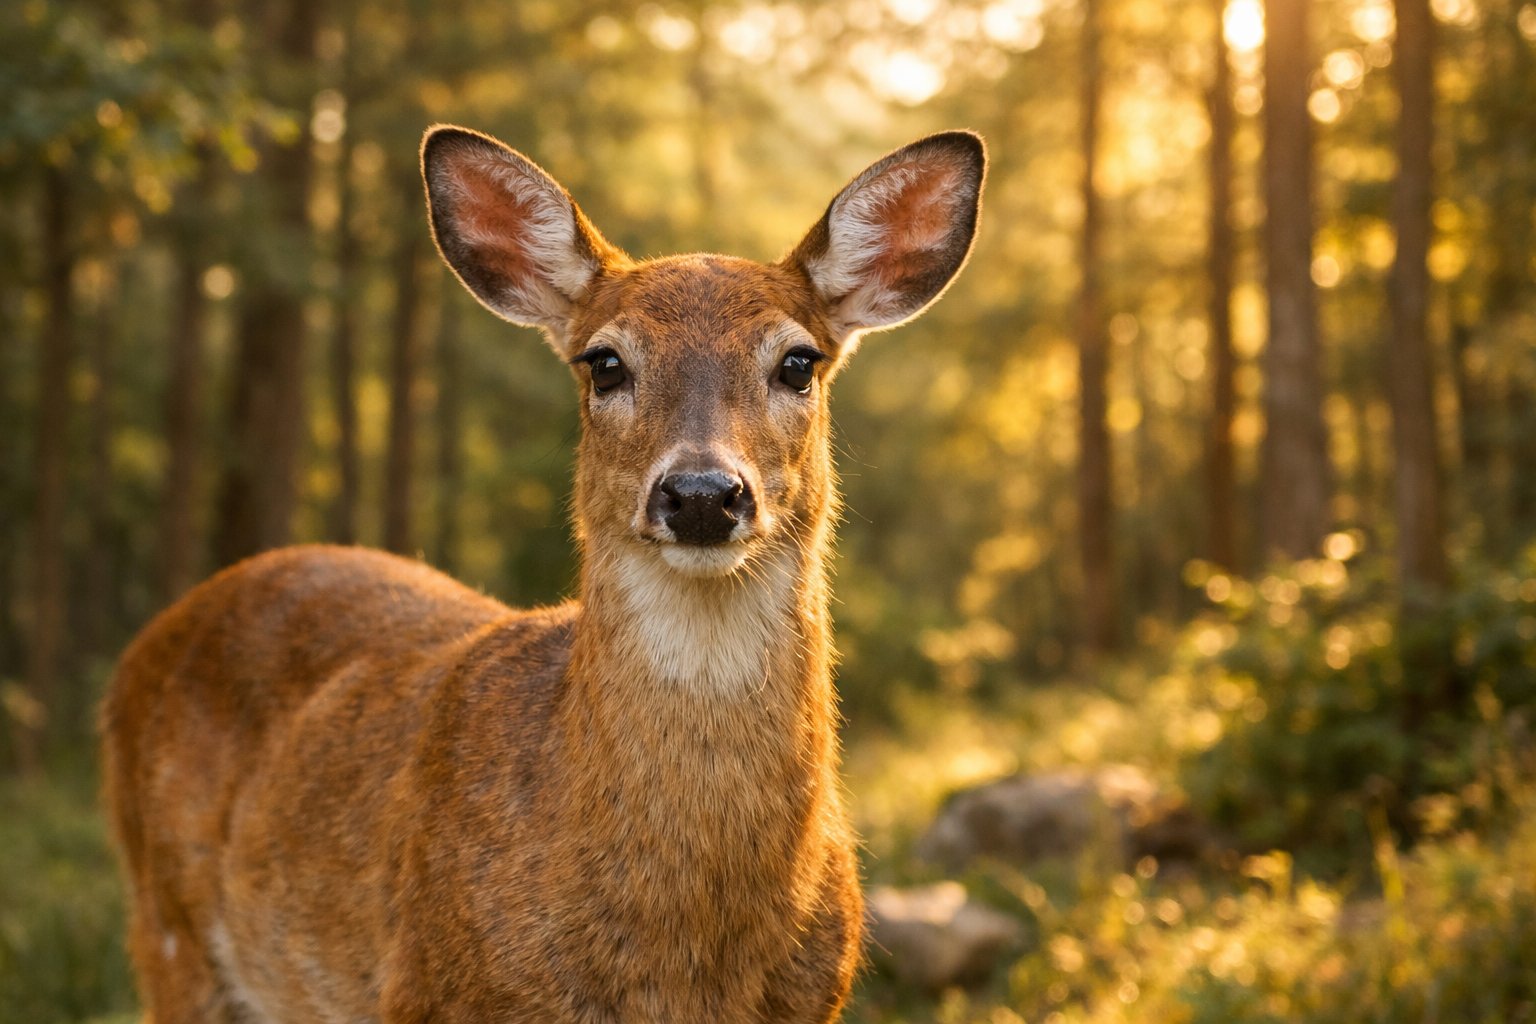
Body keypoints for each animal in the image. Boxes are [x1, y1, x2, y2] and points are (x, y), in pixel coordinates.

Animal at [102, 124, 985, 1023]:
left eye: (799, 362)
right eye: (605, 362)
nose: (702, 493)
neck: (683, 964)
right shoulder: (424, 992)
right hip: (164, 928)